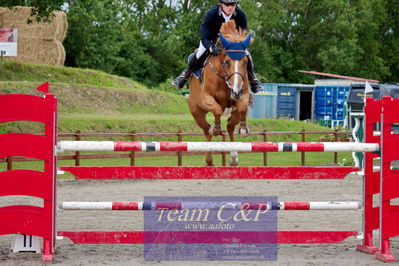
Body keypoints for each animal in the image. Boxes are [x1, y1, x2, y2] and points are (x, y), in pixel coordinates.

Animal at [188, 20, 253, 166]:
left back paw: (234, 157)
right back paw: (209, 159)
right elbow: (217, 110)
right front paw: (216, 129)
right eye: (226, 61)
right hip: (196, 112)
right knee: (206, 130)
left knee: (230, 126)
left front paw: (243, 129)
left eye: (246, 62)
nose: (235, 91)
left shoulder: (243, 94)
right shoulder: (206, 97)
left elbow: (243, 107)